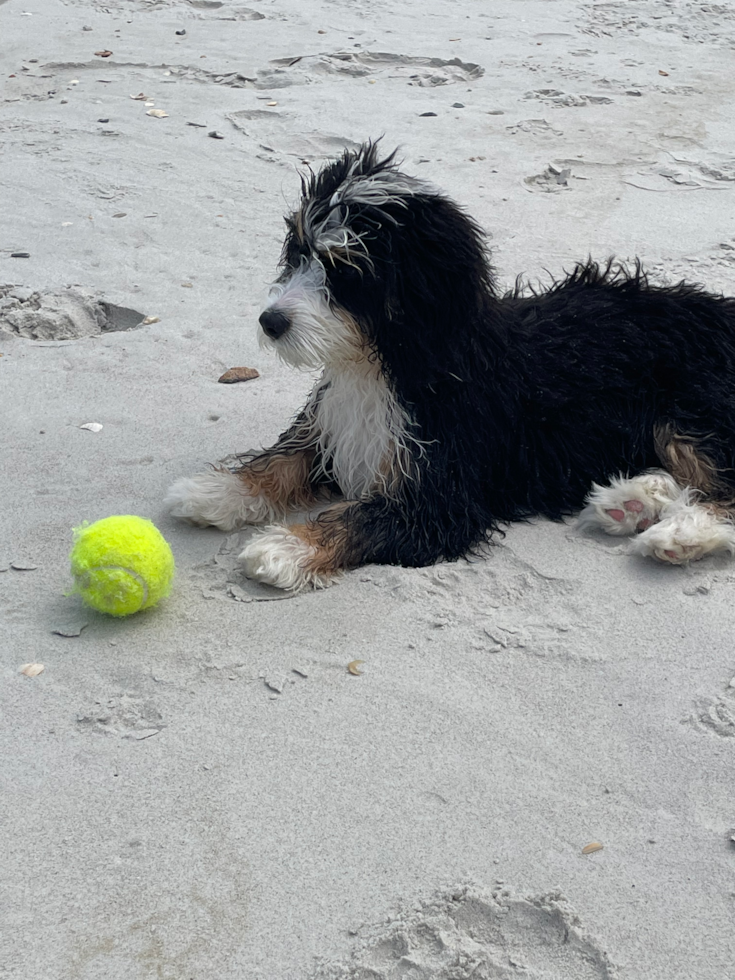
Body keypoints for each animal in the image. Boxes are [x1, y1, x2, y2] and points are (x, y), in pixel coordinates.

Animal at [164, 143, 735, 588]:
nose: (270, 321)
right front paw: (219, 490)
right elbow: (286, 459)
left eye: (346, 272)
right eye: (299, 252)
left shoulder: (442, 492)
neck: (385, 362)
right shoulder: (336, 424)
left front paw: (286, 546)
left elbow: (364, 516)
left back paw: (682, 530)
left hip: (693, 407)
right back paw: (632, 501)